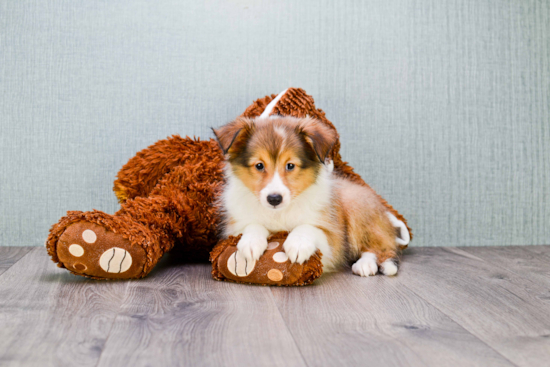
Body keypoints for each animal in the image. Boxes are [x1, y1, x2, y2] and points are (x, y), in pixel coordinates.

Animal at [215, 116, 402, 278]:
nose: (274, 199)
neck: (279, 213)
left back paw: (366, 265)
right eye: (259, 165)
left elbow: (308, 227)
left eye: (290, 165)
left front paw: (298, 245)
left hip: (357, 207)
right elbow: (253, 225)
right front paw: (251, 243)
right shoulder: (235, 227)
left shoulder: (332, 241)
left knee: (380, 248)